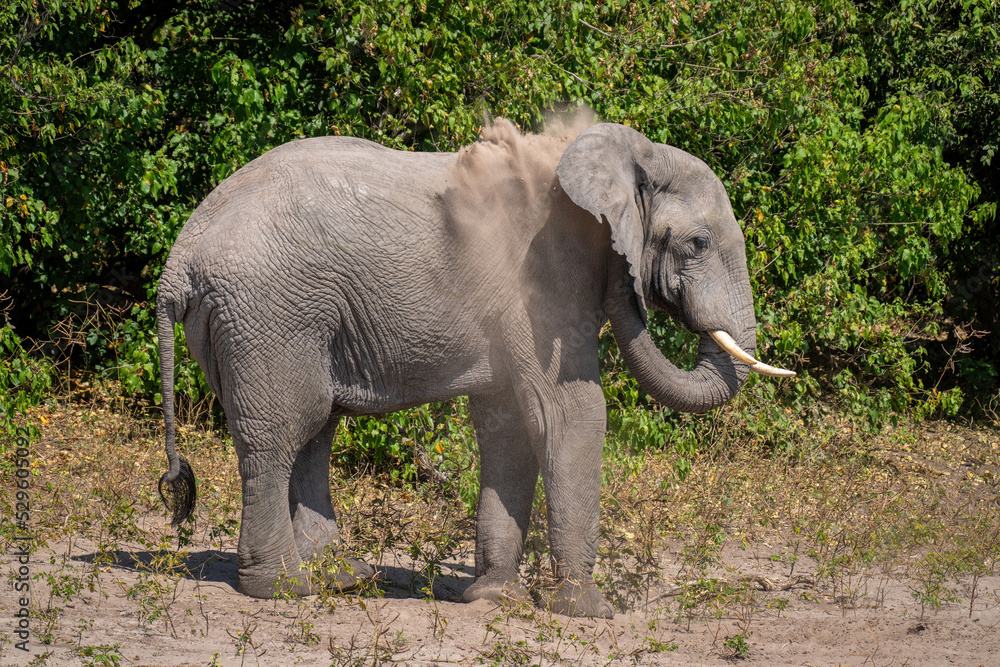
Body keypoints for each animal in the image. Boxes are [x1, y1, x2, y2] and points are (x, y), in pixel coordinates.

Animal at [156, 118, 793, 618]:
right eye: (698, 243)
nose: (633, 284)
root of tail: (179, 259)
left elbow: (509, 426)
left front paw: (492, 597)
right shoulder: (543, 283)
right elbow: (570, 414)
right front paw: (589, 611)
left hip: (272, 320)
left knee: (315, 431)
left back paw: (343, 577)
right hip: (267, 314)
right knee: (283, 433)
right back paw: (284, 589)